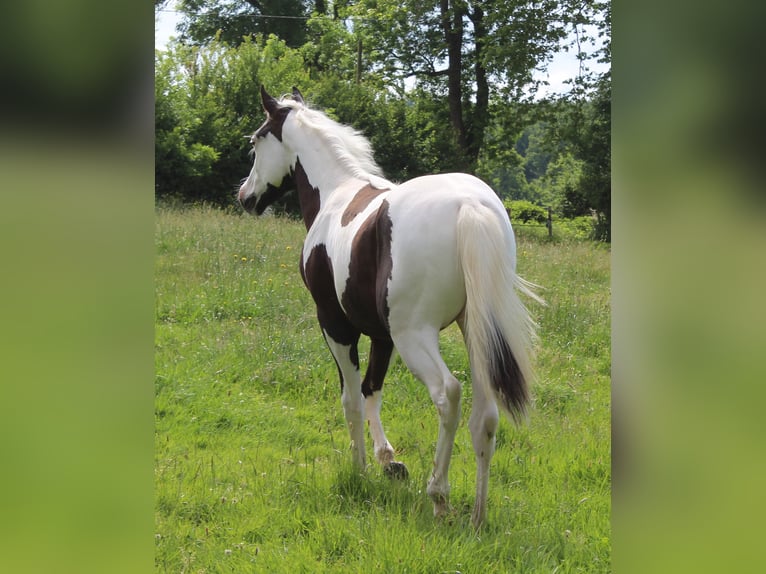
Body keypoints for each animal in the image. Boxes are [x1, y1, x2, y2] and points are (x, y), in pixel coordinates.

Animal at [238, 86, 541, 528]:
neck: (336, 193)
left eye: (256, 140)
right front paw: (388, 461)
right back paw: (477, 515)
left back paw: (439, 495)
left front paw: (360, 468)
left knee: (448, 394)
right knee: (485, 414)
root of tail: (469, 206)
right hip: (475, 331)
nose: (245, 196)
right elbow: (372, 388)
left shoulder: (335, 325)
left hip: (415, 336)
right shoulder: (383, 335)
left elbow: (350, 396)